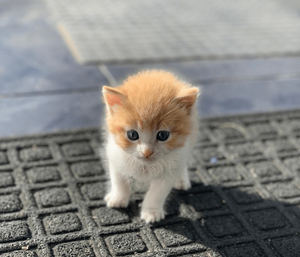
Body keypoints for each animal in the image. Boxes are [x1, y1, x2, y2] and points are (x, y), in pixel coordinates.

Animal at [101, 69, 199, 222]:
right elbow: (119, 181)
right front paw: (118, 199)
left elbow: (156, 194)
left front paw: (151, 212)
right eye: (132, 135)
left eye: (163, 135)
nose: (147, 152)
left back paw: (182, 180)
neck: (145, 167)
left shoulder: (170, 169)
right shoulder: (115, 154)